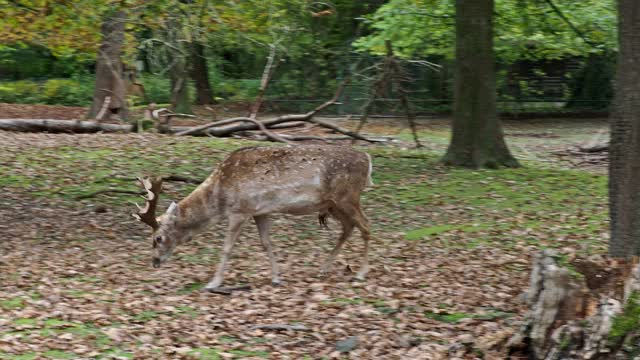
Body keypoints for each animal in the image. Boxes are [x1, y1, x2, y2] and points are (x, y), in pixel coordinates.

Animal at [134, 145, 376, 292]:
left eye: (158, 238)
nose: (154, 262)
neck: (220, 196)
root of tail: (367, 159)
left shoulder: (240, 210)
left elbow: (227, 247)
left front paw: (213, 282)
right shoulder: (261, 211)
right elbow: (266, 243)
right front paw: (276, 278)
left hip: (347, 196)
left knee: (365, 225)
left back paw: (361, 273)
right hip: (333, 204)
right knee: (349, 227)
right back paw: (324, 268)